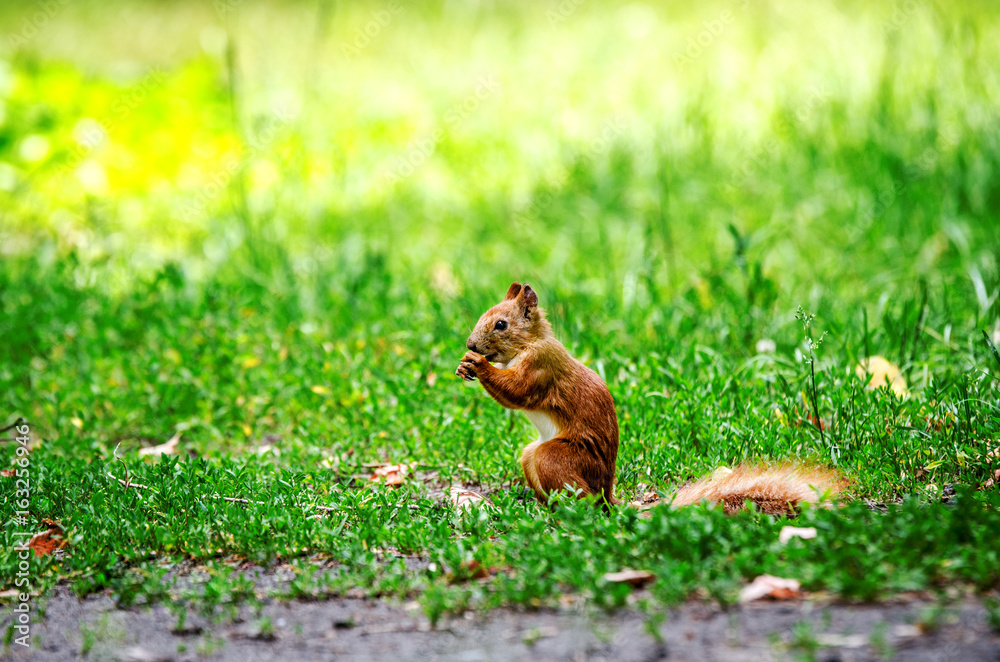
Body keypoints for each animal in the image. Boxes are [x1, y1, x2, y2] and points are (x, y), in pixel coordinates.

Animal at [456, 282, 845, 514]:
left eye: (501, 324)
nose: (471, 344)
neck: (528, 344)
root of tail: (607, 492)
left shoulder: (542, 367)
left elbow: (519, 391)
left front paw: (478, 365)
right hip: (530, 456)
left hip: (557, 458)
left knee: (584, 498)